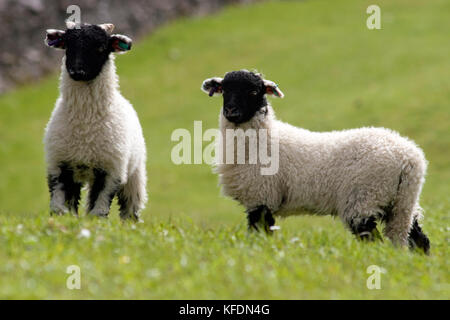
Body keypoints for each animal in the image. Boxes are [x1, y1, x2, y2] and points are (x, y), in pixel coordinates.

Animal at [43, 21, 147, 220]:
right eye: (68, 46)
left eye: (100, 48)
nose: (77, 71)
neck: (86, 125)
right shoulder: (59, 166)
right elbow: (60, 207)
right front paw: (65, 221)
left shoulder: (111, 172)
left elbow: (98, 211)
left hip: (134, 175)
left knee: (130, 207)